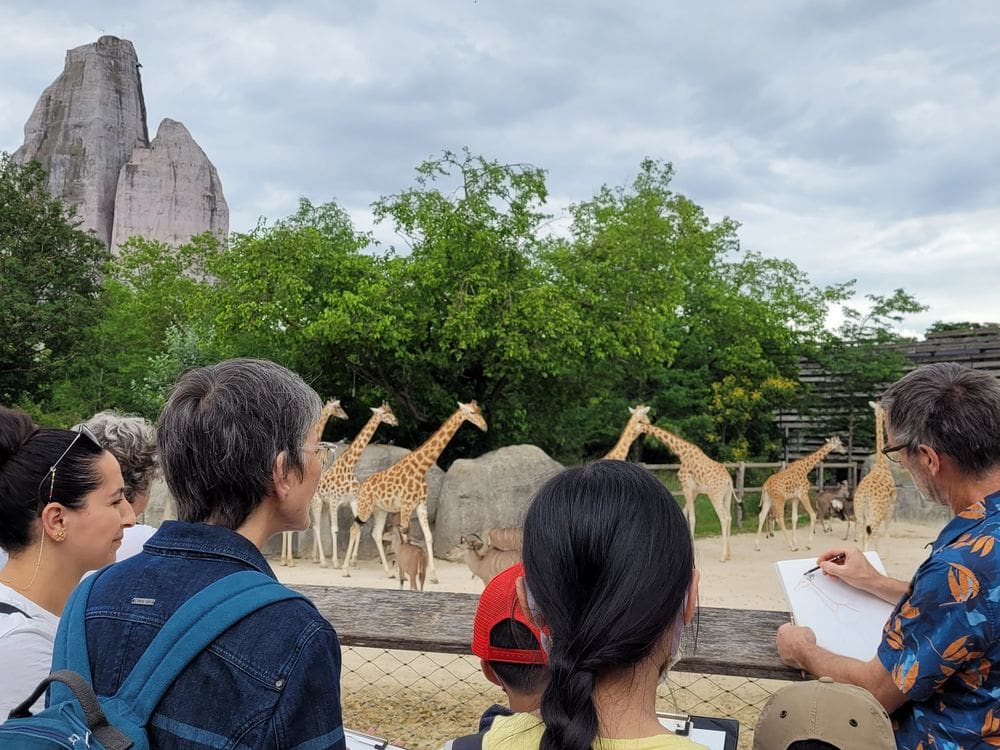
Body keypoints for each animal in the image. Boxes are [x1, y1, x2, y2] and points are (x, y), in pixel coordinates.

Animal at [310, 406, 396, 568]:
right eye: (385, 413)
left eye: (391, 411)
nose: (395, 421)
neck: (349, 466)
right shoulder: (335, 502)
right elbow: (335, 530)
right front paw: (336, 562)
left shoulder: (353, 500)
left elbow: (359, 527)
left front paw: (352, 560)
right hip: (317, 501)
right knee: (316, 526)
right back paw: (323, 561)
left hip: (324, 504)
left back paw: (316, 558)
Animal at [342, 402, 486, 584]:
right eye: (472, 412)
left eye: (480, 411)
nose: (484, 426)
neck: (421, 469)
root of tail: (362, 487)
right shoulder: (406, 505)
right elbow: (406, 538)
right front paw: (404, 570)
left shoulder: (421, 506)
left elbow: (428, 537)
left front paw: (434, 576)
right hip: (365, 507)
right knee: (354, 529)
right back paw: (345, 570)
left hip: (380, 510)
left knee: (375, 533)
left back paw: (388, 572)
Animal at [640, 426, 736, 560]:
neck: (682, 453)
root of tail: (729, 481)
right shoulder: (694, 491)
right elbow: (684, 512)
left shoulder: (687, 487)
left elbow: (692, 518)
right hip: (727, 496)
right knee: (729, 517)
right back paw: (728, 554)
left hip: (715, 496)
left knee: (724, 518)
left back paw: (723, 556)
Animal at [852, 402, 900, 556]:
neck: (881, 464)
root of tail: (865, 496)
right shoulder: (891, 507)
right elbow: (885, 533)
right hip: (876, 513)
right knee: (871, 534)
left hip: (859, 512)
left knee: (862, 534)